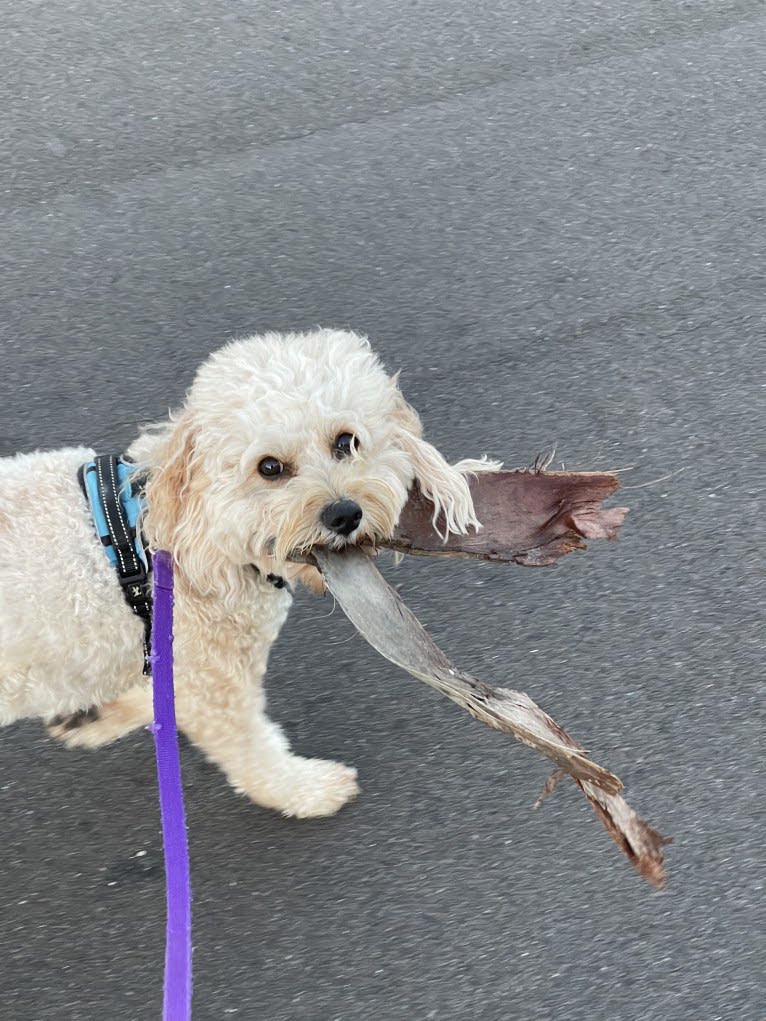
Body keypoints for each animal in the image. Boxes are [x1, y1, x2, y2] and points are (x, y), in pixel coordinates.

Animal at [1, 330, 498, 816]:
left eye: (346, 441)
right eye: (270, 468)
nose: (343, 514)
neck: (153, 540)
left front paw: (97, 715)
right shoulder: (212, 685)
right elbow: (253, 755)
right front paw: (308, 790)